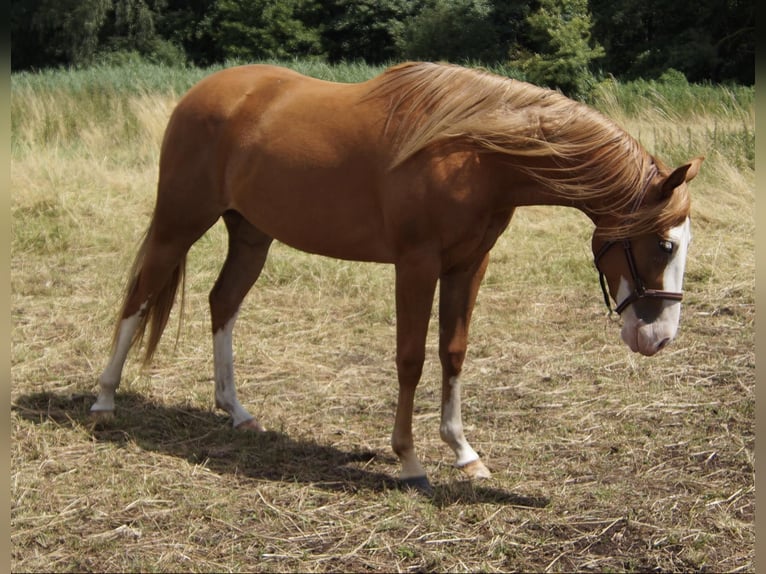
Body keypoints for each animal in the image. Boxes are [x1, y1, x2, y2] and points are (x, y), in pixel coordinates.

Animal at [90, 63, 704, 496]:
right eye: (665, 244)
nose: (659, 338)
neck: (474, 152)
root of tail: (201, 95)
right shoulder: (416, 264)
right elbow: (410, 357)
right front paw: (409, 461)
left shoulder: (468, 264)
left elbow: (453, 351)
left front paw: (464, 453)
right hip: (179, 221)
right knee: (138, 297)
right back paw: (104, 401)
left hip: (251, 235)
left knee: (223, 304)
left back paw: (236, 412)